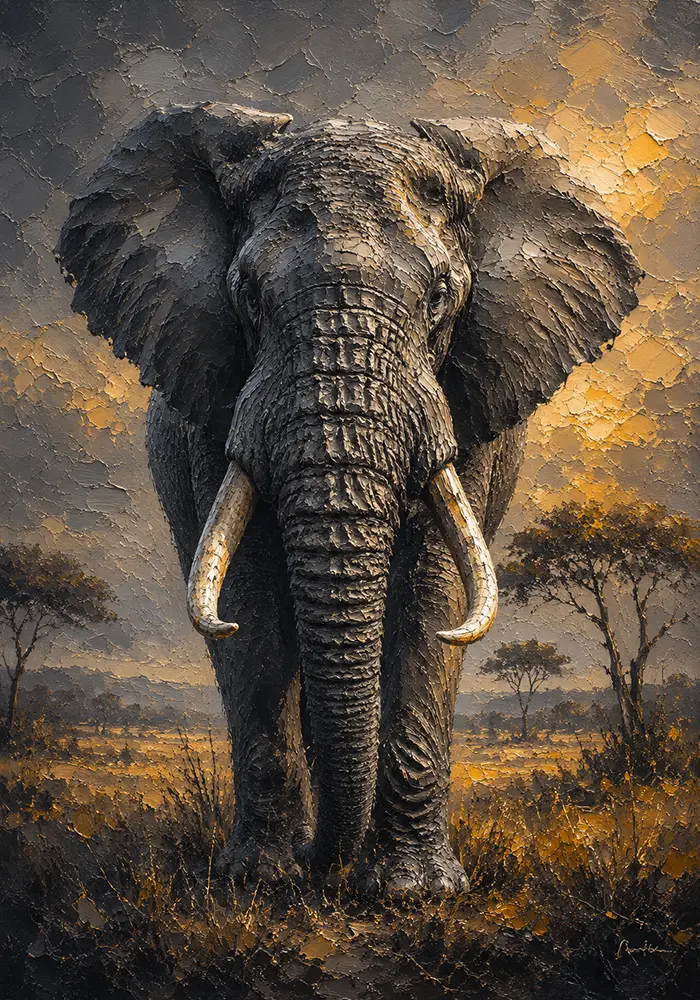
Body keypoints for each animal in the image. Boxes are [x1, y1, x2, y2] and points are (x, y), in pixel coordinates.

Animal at [57, 103, 641, 899]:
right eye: (247, 296)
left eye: (441, 299)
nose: (320, 866)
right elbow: (250, 598)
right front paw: (261, 884)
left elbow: (433, 600)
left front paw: (413, 893)